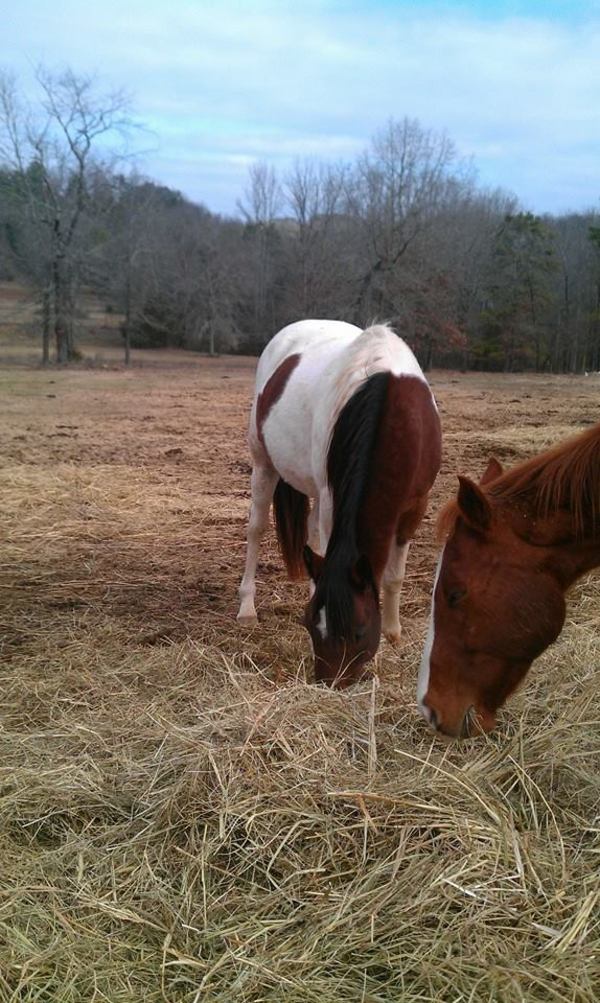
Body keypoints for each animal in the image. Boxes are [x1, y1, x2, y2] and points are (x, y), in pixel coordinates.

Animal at [237, 319, 442, 687]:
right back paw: (247, 608)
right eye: (310, 626)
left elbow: (394, 576)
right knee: (257, 529)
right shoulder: (335, 498)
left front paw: (393, 634)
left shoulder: (415, 506)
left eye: (360, 632)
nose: (329, 683)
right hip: (265, 464)